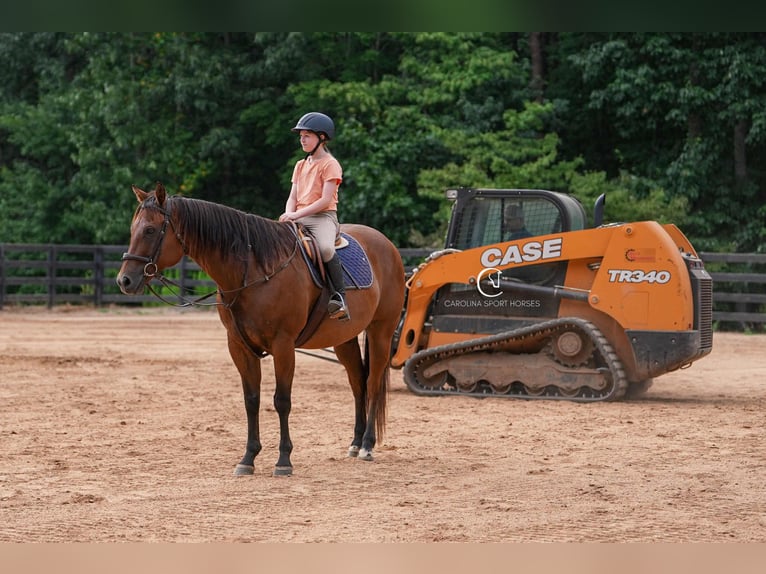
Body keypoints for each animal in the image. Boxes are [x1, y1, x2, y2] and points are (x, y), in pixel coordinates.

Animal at [116, 183, 406, 477]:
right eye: (133, 229)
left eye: (150, 230)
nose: (124, 280)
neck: (253, 271)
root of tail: (387, 245)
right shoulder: (239, 346)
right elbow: (251, 400)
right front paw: (248, 457)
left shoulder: (283, 346)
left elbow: (282, 400)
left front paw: (284, 460)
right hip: (343, 339)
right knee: (357, 382)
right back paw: (356, 443)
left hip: (380, 333)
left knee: (372, 382)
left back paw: (367, 445)